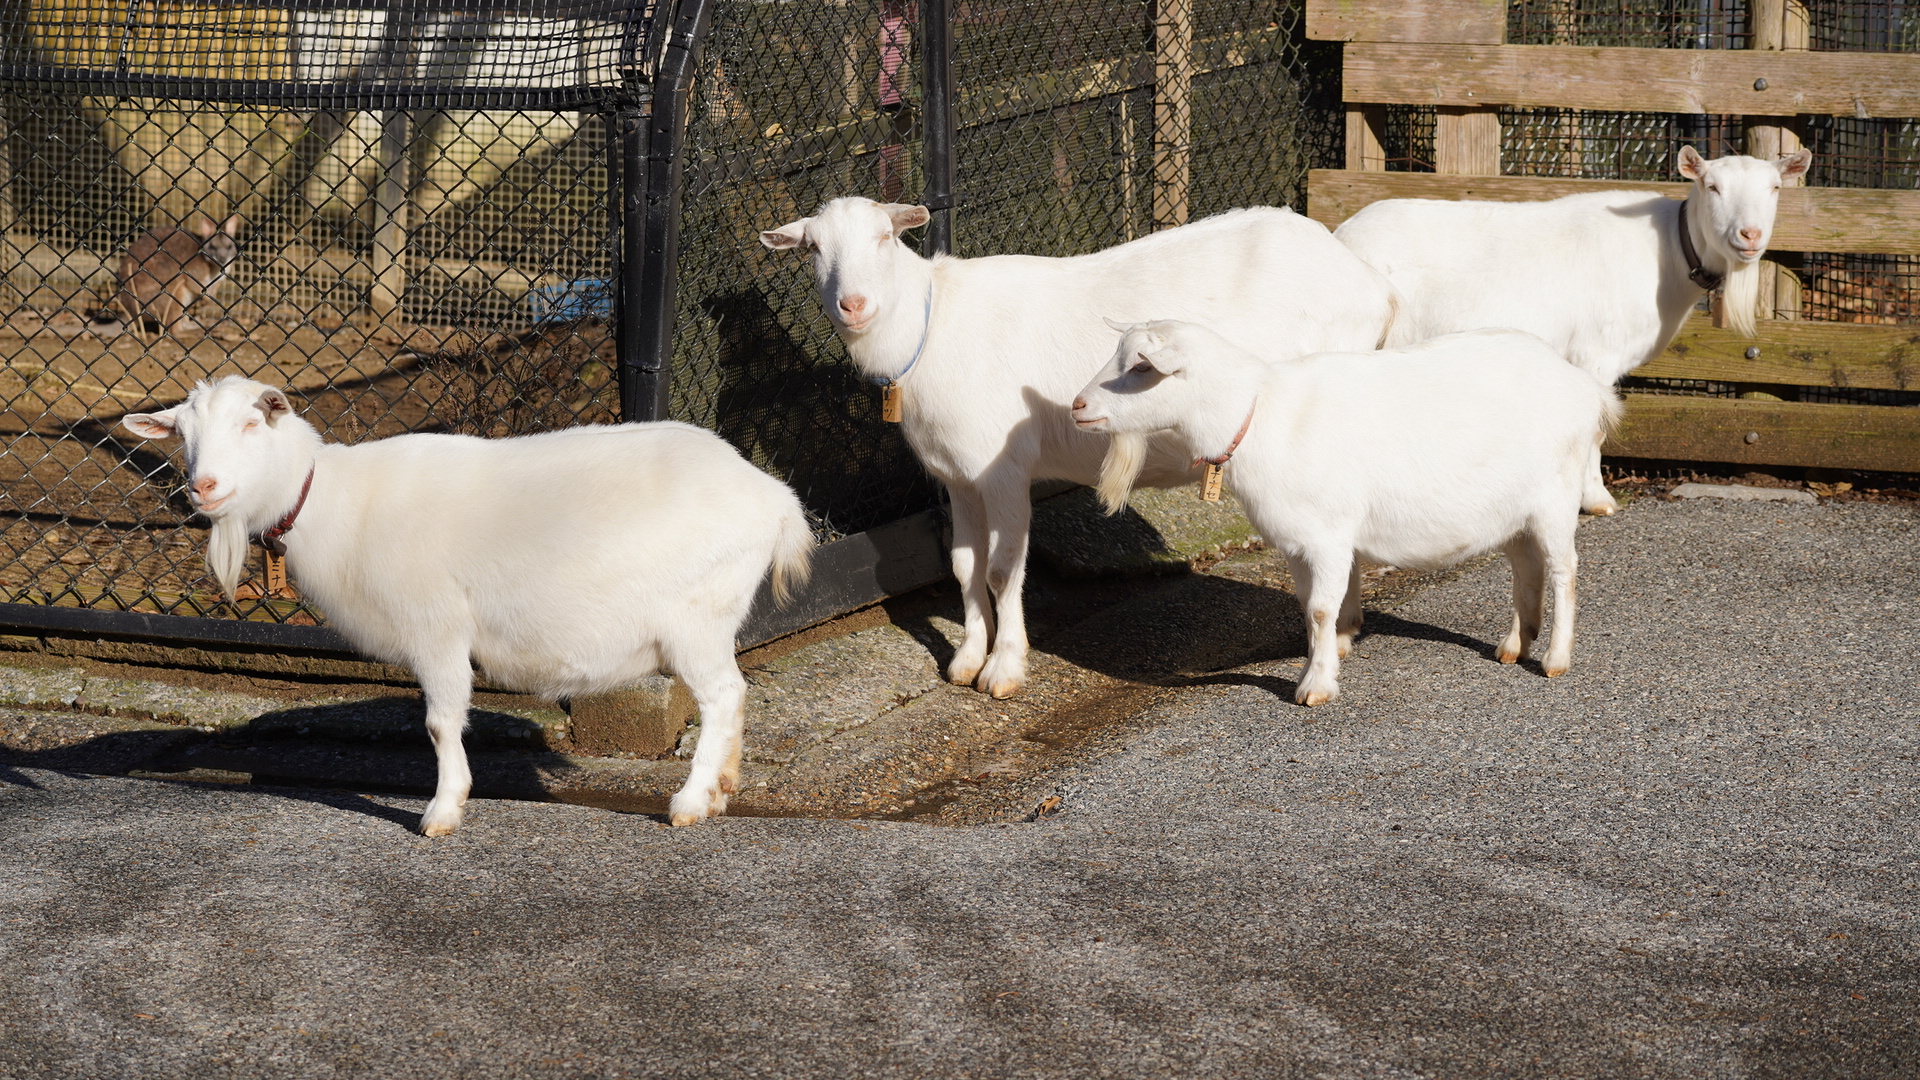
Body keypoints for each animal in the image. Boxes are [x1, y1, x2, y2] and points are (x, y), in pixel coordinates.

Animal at [122, 376, 814, 836]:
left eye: (251, 424)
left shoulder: (438, 627)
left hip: (698, 615)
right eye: (182, 434)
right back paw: (722, 790)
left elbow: (439, 722)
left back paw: (691, 803)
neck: (333, 501)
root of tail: (774, 498)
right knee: (735, 694)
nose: (203, 488)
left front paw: (442, 810)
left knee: (721, 695)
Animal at [760, 197, 1397, 699]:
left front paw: (1004, 670)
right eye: (813, 248)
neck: (932, 327)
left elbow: (1001, 570)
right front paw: (965, 660)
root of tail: (1370, 284)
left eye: (885, 237)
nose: (854, 305)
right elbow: (964, 566)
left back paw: (1333, 638)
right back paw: (1344, 629)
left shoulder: (1001, 468)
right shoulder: (957, 476)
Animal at [1071, 322, 1620, 706]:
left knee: (1564, 570)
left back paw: (1554, 658)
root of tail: (1584, 386)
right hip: (1514, 511)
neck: (1262, 414)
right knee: (1526, 568)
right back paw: (1514, 645)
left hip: (1555, 496)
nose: (1077, 406)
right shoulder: (1297, 542)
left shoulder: (1328, 537)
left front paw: (1315, 686)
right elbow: (1311, 606)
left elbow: (1319, 608)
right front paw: (1328, 653)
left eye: (1141, 367)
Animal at [1334, 145, 1813, 516]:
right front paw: (1596, 500)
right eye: (1712, 187)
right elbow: (1596, 427)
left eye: (1774, 187)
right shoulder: (1594, 355)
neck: (1669, 253)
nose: (1749, 235)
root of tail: (1342, 234)